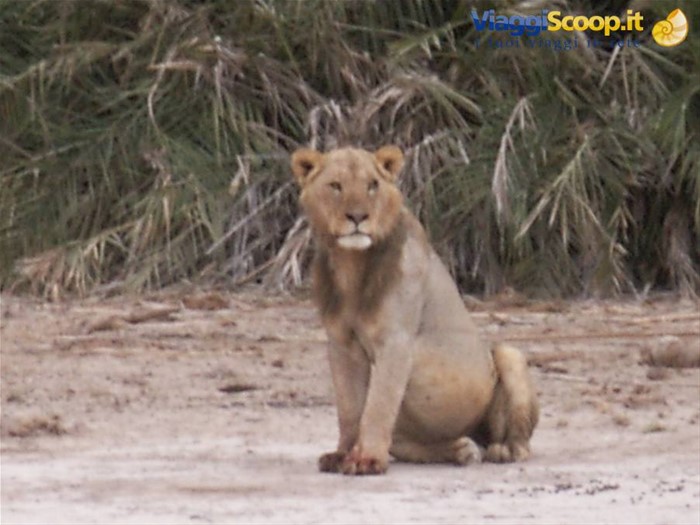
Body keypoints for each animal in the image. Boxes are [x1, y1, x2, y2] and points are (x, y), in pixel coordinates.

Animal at [291, 145, 539, 475]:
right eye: (335, 186)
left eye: (372, 185)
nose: (357, 216)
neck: (350, 265)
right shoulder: (342, 345)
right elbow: (349, 408)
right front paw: (342, 454)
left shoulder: (396, 341)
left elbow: (378, 406)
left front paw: (367, 459)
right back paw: (460, 449)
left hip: (509, 355)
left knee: (519, 443)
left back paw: (503, 450)